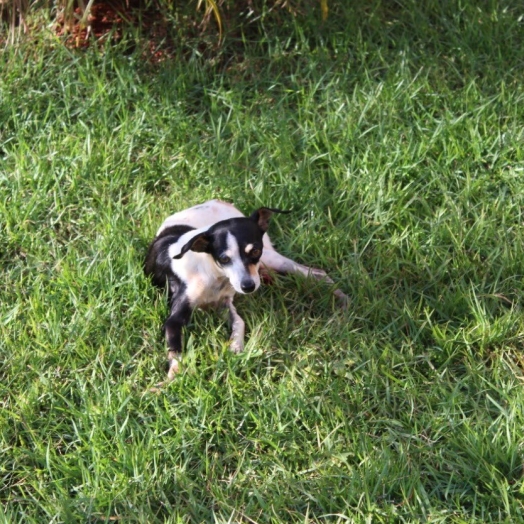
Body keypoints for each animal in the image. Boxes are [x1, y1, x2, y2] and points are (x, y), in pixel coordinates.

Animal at [144, 199, 348, 378]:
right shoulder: (176, 319)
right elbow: (177, 351)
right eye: (224, 259)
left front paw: (235, 347)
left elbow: (238, 322)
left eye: (255, 251)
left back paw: (341, 298)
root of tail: (218, 201)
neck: (213, 274)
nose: (248, 286)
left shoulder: (225, 301)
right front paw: (173, 376)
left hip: (271, 259)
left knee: (317, 273)